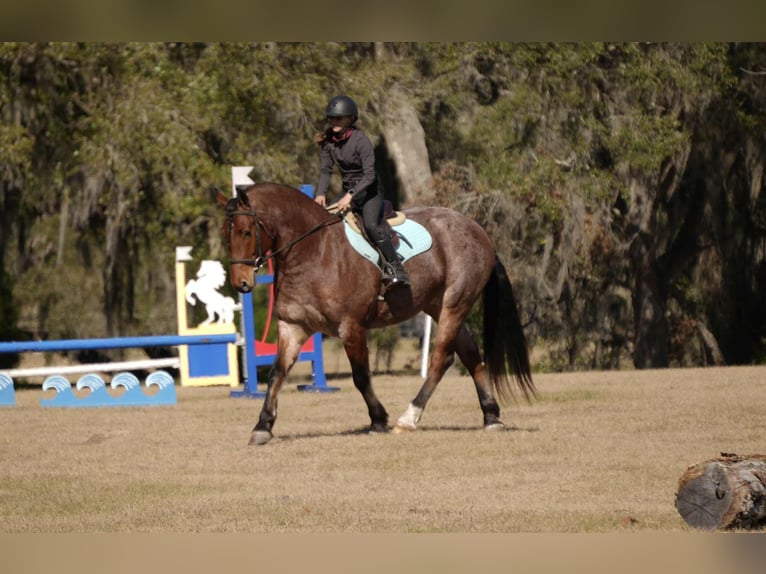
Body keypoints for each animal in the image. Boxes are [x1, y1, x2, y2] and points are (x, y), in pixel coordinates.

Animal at [217, 182, 535, 445]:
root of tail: (477, 229)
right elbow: (277, 374)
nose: (241, 283)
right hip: (437, 305)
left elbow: (360, 377)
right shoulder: (293, 327)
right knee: (469, 356)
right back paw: (491, 416)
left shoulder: (351, 327)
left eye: (246, 232)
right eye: (225, 235)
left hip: (455, 304)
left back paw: (408, 418)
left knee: (440, 359)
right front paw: (263, 426)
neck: (312, 251)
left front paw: (378, 419)